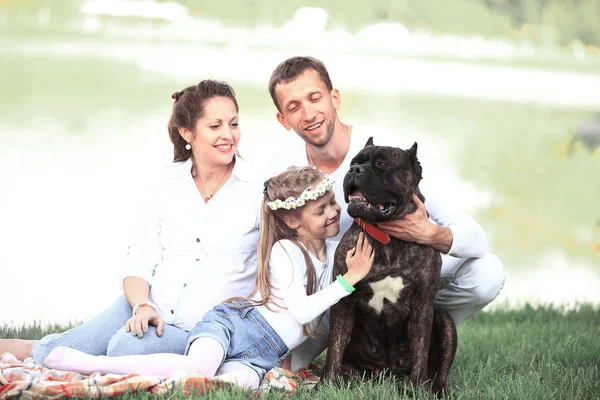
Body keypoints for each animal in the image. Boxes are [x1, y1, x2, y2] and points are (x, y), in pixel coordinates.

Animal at [322, 138, 458, 394]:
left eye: (383, 164)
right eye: (353, 162)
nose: (355, 170)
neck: (387, 235)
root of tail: (386, 373)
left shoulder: (423, 305)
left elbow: (420, 348)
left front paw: (418, 388)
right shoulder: (343, 302)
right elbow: (334, 345)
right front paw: (326, 384)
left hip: (445, 320)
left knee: (442, 371)